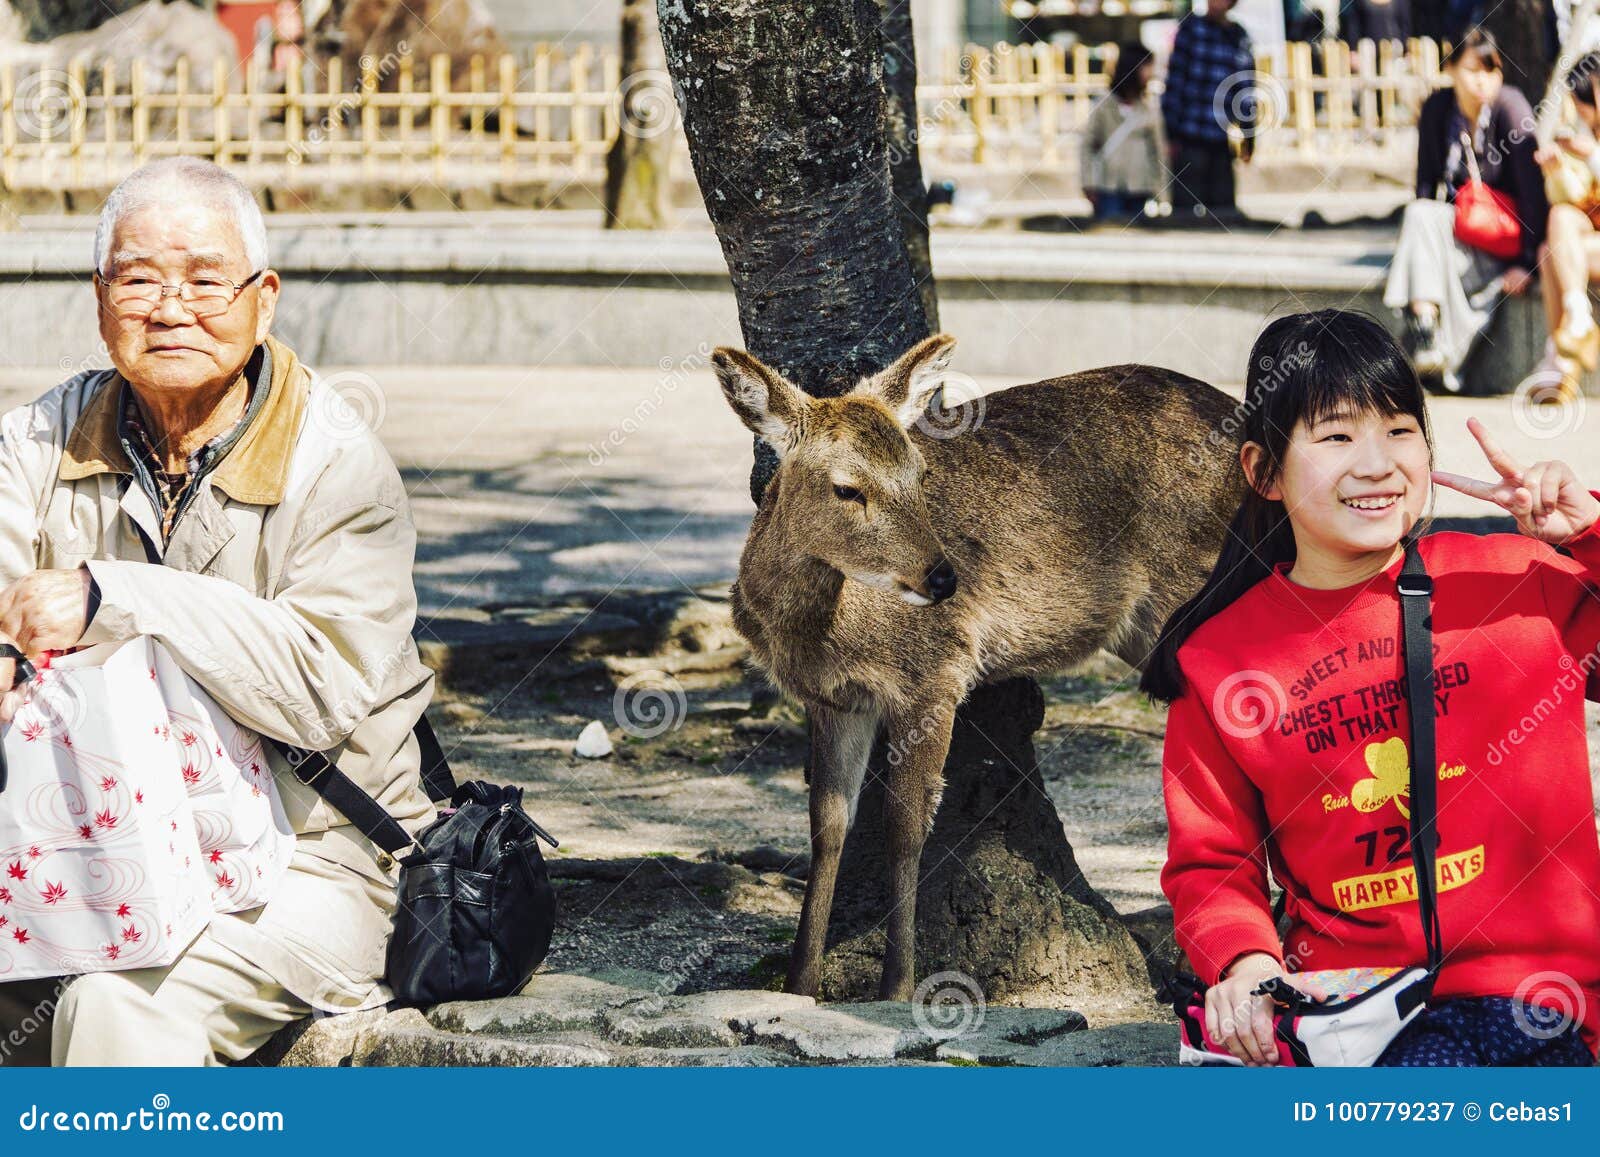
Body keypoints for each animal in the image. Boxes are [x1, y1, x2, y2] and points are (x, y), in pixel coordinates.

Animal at [713, 334, 1248, 1004]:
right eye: (846, 488)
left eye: (919, 474)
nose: (943, 578)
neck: (820, 633)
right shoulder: (835, 700)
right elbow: (827, 824)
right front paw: (798, 984)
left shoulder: (934, 673)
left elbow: (905, 825)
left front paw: (897, 985)